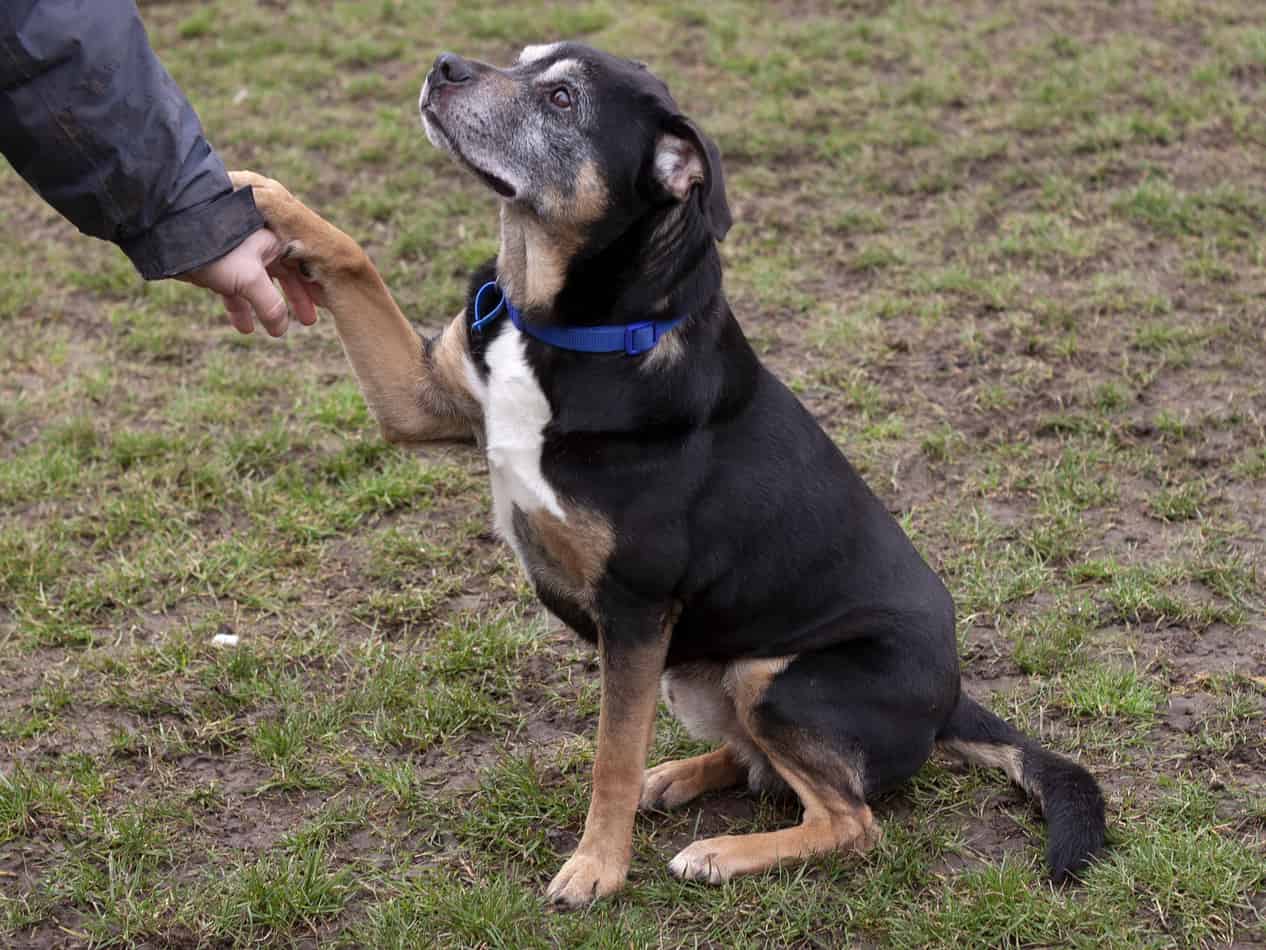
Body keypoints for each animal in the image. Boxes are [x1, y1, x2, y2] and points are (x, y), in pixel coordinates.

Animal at [230, 40, 1109, 912]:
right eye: (521, 57)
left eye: (562, 100)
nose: (445, 65)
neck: (566, 324)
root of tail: (952, 699)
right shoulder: (419, 399)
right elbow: (354, 258)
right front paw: (267, 196)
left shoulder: (634, 609)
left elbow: (610, 755)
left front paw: (595, 868)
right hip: (702, 675)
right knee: (761, 767)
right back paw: (680, 779)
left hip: (774, 676)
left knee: (851, 820)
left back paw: (719, 852)